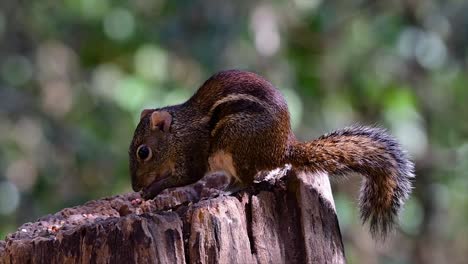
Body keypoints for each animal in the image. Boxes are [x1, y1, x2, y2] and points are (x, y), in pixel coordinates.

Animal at [128, 69, 414, 238]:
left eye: (143, 152)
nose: (134, 187)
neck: (178, 134)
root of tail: (283, 148)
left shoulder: (192, 154)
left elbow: (186, 177)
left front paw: (151, 191)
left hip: (237, 145)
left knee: (246, 182)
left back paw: (224, 191)